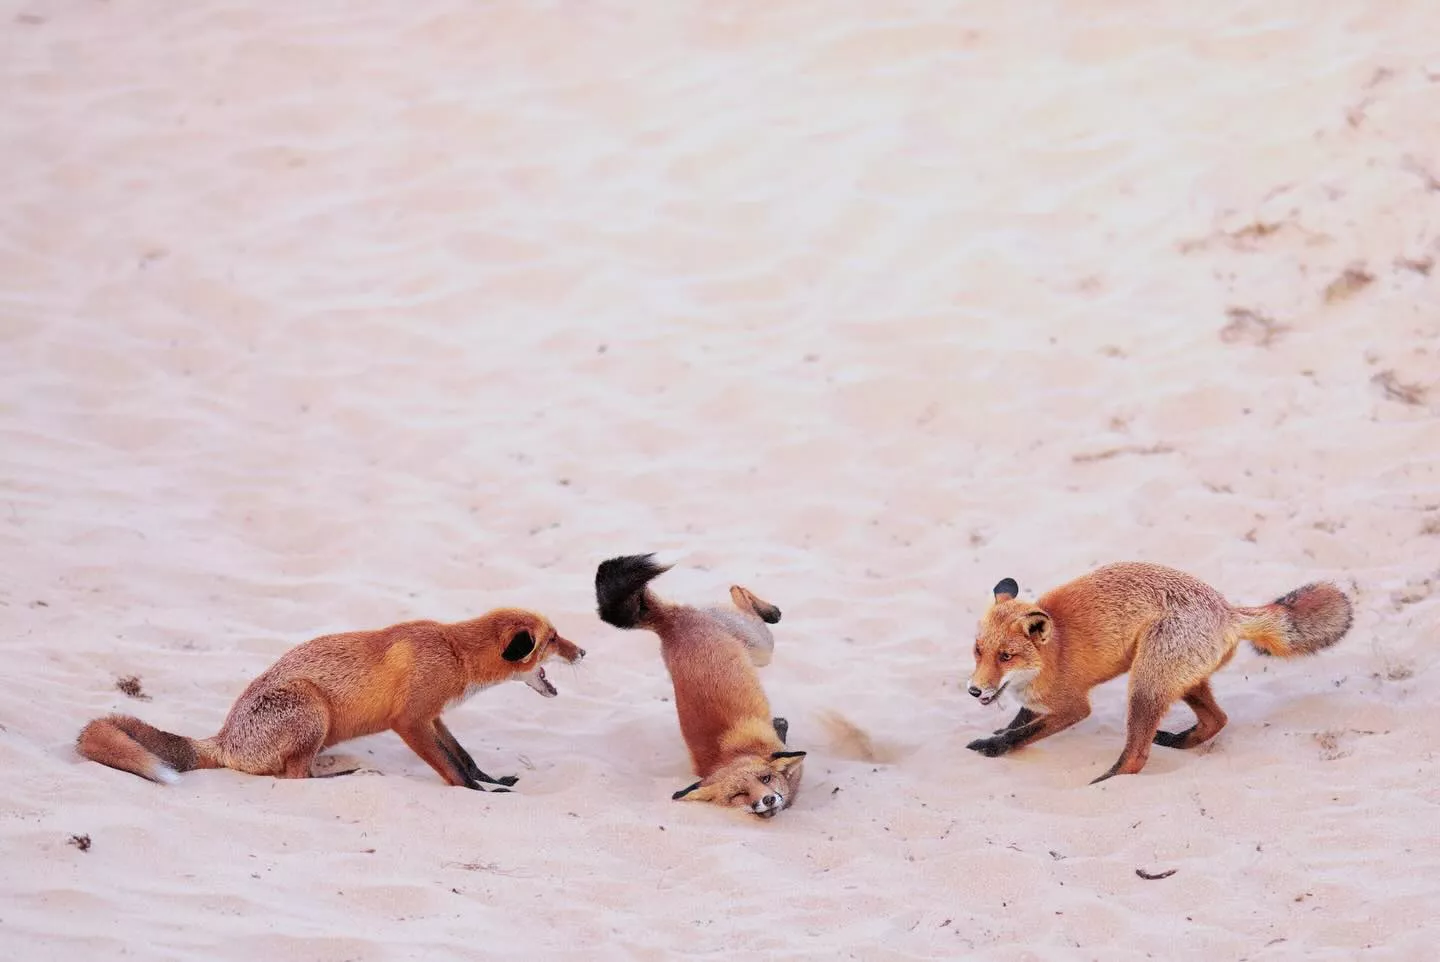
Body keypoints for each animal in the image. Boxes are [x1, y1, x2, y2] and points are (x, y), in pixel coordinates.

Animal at [77, 608, 585, 790]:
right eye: (553, 639)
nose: (582, 652)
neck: (453, 650)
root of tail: (224, 740)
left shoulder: (433, 716)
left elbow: (464, 756)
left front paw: (492, 780)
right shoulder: (410, 720)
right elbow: (452, 770)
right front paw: (478, 794)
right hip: (311, 708)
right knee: (294, 778)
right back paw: (339, 777)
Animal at [594, 554, 805, 818]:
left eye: (765, 779)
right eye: (740, 794)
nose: (767, 800)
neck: (735, 753)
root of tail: (670, 622)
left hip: (761, 646)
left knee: (741, 596)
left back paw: (768, 609)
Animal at [964, 562, 1353, 783]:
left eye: (1006, 656)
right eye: (978, 650)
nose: (973, 690)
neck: (1052, 651)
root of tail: (1228, 610)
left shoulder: (1073, 706)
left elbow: (1023, 733)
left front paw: (993, 746)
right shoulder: (1037, 700)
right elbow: (1020, 721)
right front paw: (1000, 731)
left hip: (1145, 683)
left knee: (1137, 755)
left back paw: (1107, 781)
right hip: (1180, 679)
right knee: (1217, 719)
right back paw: (1177, 740)